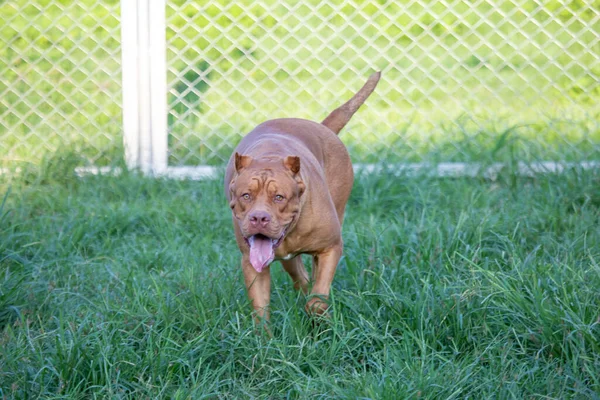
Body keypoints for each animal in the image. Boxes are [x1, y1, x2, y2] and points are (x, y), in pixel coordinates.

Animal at [223, 71, 382, 322]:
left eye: (279, 197)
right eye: (246, 195)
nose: (259, 218)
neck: (269, 157)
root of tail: (323, 127)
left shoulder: (331, 248)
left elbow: (317, 298)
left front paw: (318, 316)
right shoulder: (252, 262)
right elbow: (261, 310)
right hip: (288, 260)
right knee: (302, 278)